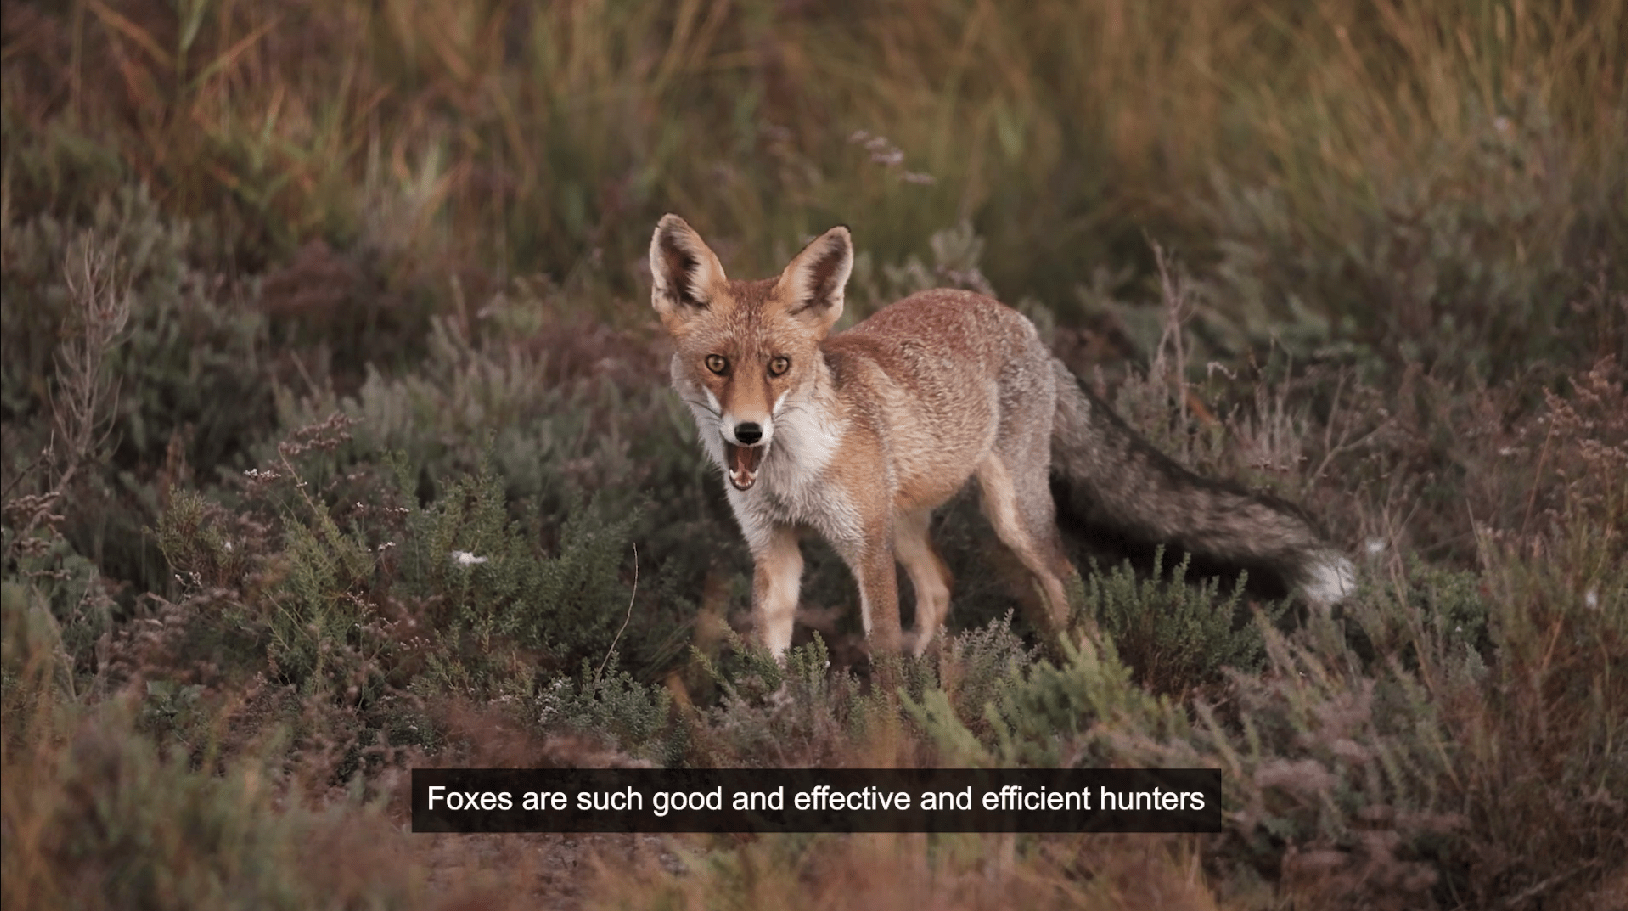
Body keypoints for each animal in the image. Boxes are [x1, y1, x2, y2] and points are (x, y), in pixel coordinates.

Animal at [649, 214, 1354, 658]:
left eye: (778, 367)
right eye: (717, 365)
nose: (748, 429)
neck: (792, 472)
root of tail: (1020, 321)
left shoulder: (866, 551)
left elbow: (881, 663)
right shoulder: (774, 551)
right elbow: (771, 662)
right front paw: (775, 720)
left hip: (1012, 516)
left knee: (1069, 592)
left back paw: (1088, 680)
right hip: (906, 521)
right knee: (940, 584)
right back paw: (938, 675)